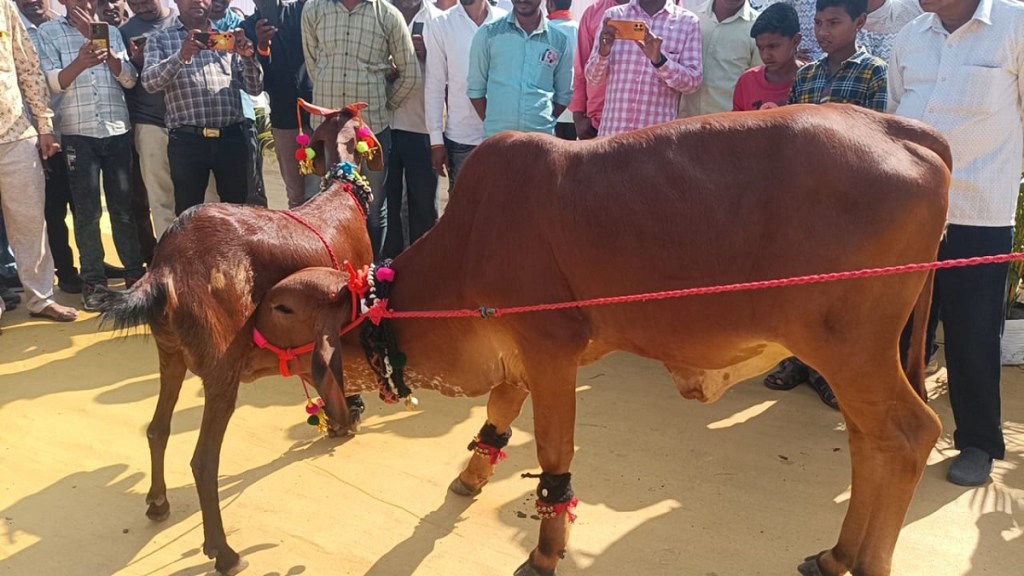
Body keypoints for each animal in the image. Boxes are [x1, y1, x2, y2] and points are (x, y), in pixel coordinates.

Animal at [98, 103, 385, 573]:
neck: (340, 193)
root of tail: (165, 267)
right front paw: (348, 416)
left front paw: (338, 418)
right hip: (221, 369)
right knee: (203, 460)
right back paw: (223, 551)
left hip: (170, 353)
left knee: (158, 429)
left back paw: (158, 502)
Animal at [256, 104, 950, 573]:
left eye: (282, 306)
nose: (245, 337)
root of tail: (903, 129)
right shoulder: (515, 353)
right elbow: (497, 417)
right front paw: (471, 477)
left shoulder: (552, 349)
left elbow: (554, 456)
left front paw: (544, 553)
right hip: (851, 357)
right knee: (867, 442)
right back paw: (835, 554)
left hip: (852, 347)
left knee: (908, 435)